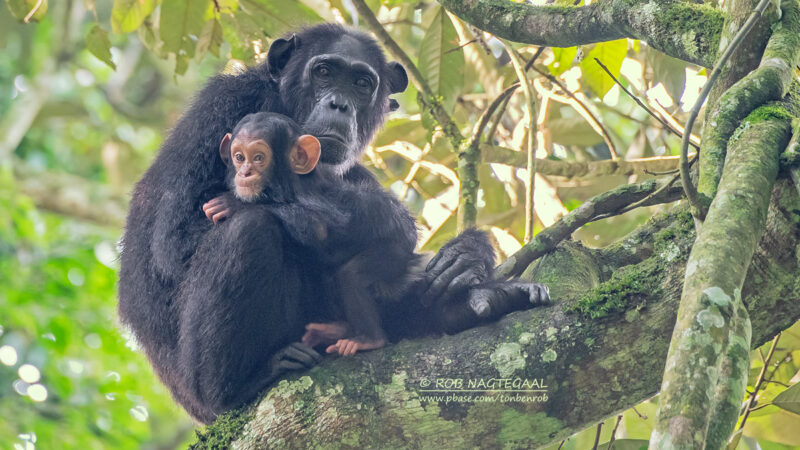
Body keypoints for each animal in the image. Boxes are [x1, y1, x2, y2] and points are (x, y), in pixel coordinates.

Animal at [206, 114, 424, 356]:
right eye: (239, 157)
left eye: (258, 157)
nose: (245, 172)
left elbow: (318, 227)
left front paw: (232, 204)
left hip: (392, 256)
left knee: (352, 276)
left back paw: (369, 338)